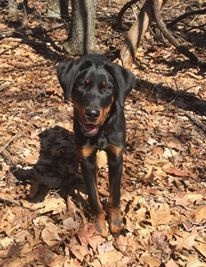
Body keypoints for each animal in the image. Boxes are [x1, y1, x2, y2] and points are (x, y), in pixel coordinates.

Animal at [57, 54, 136, 237]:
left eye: (107, 87)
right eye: (82, 85)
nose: (92, 113)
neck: (100, 132)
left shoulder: (116, 157)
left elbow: (115, 196)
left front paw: (115, 223)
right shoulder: (86, 160)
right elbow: (94, 197)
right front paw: (100, 225)